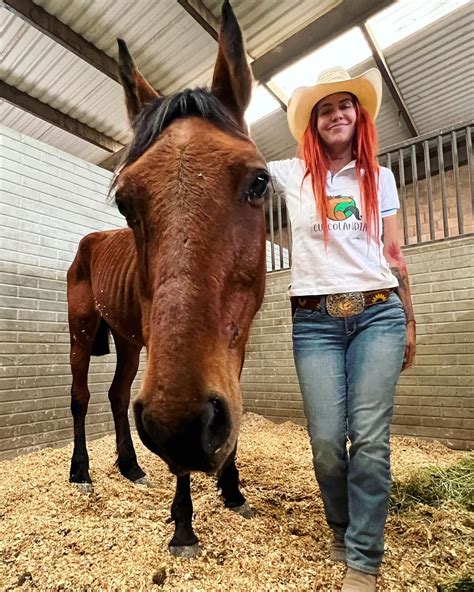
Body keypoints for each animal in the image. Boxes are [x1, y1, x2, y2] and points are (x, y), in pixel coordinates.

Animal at [66, 1, 268, 556]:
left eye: (259, 182)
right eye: (124, 201)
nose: (178, 426)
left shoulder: (233, 347)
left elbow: (233, 415)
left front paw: (233, 490)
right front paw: (183, 526)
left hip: (131, 343)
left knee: (116, 396)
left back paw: (131, 466)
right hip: (82, 333)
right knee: (81, 398)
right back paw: (81, 472)